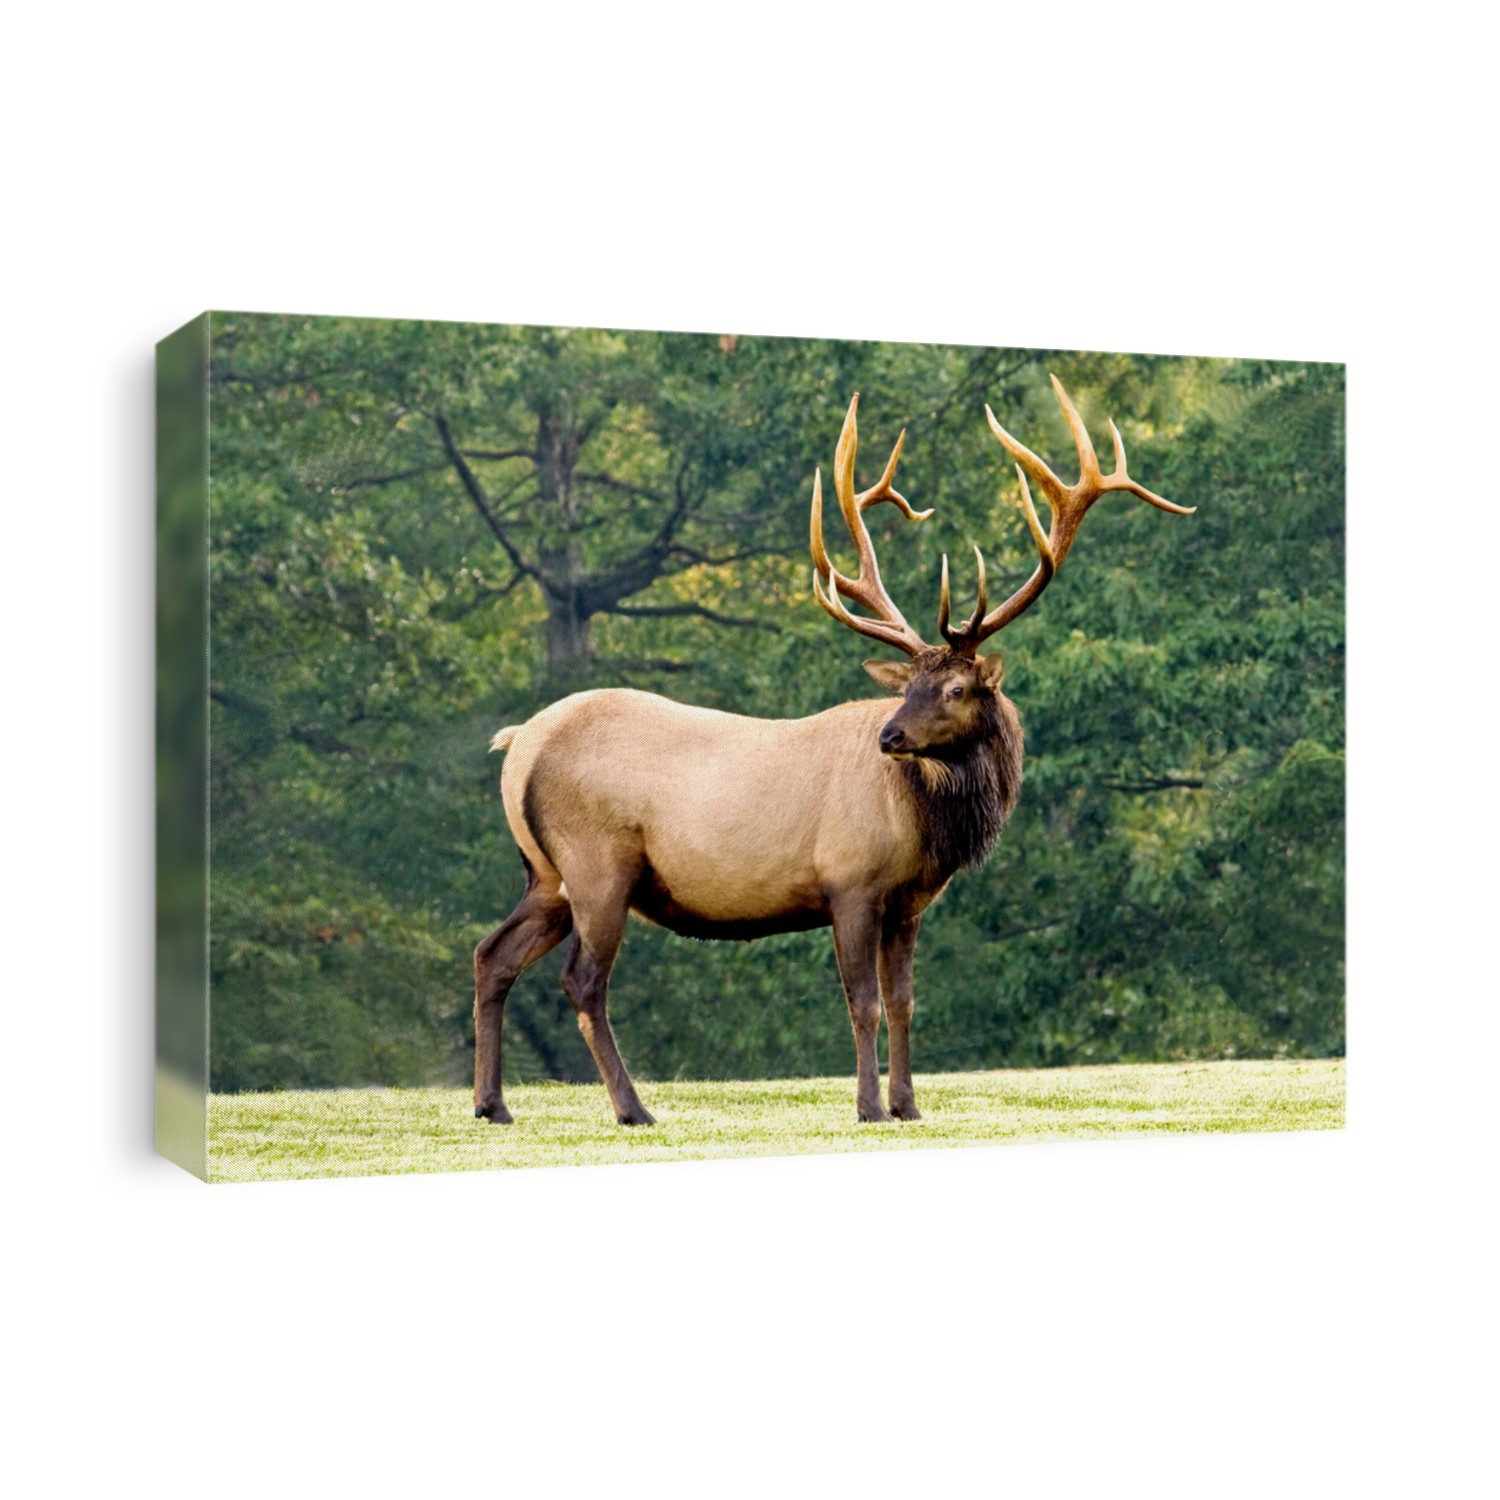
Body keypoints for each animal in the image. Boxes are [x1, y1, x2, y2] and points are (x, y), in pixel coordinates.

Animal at [473, 376, 1192, 1127]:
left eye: (955, 686)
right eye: (908, 686)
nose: (890, 737)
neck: (928, 825)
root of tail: (518, 743)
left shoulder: (908, 902)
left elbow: (904, 1001)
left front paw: (909, 1105)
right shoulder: (851, 881)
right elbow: (863, 1002)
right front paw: (870, 1106)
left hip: (544, 872)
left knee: (492, 954)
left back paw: (493, 1104)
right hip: (598, 863)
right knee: (582, 981)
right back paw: (631, 1108)